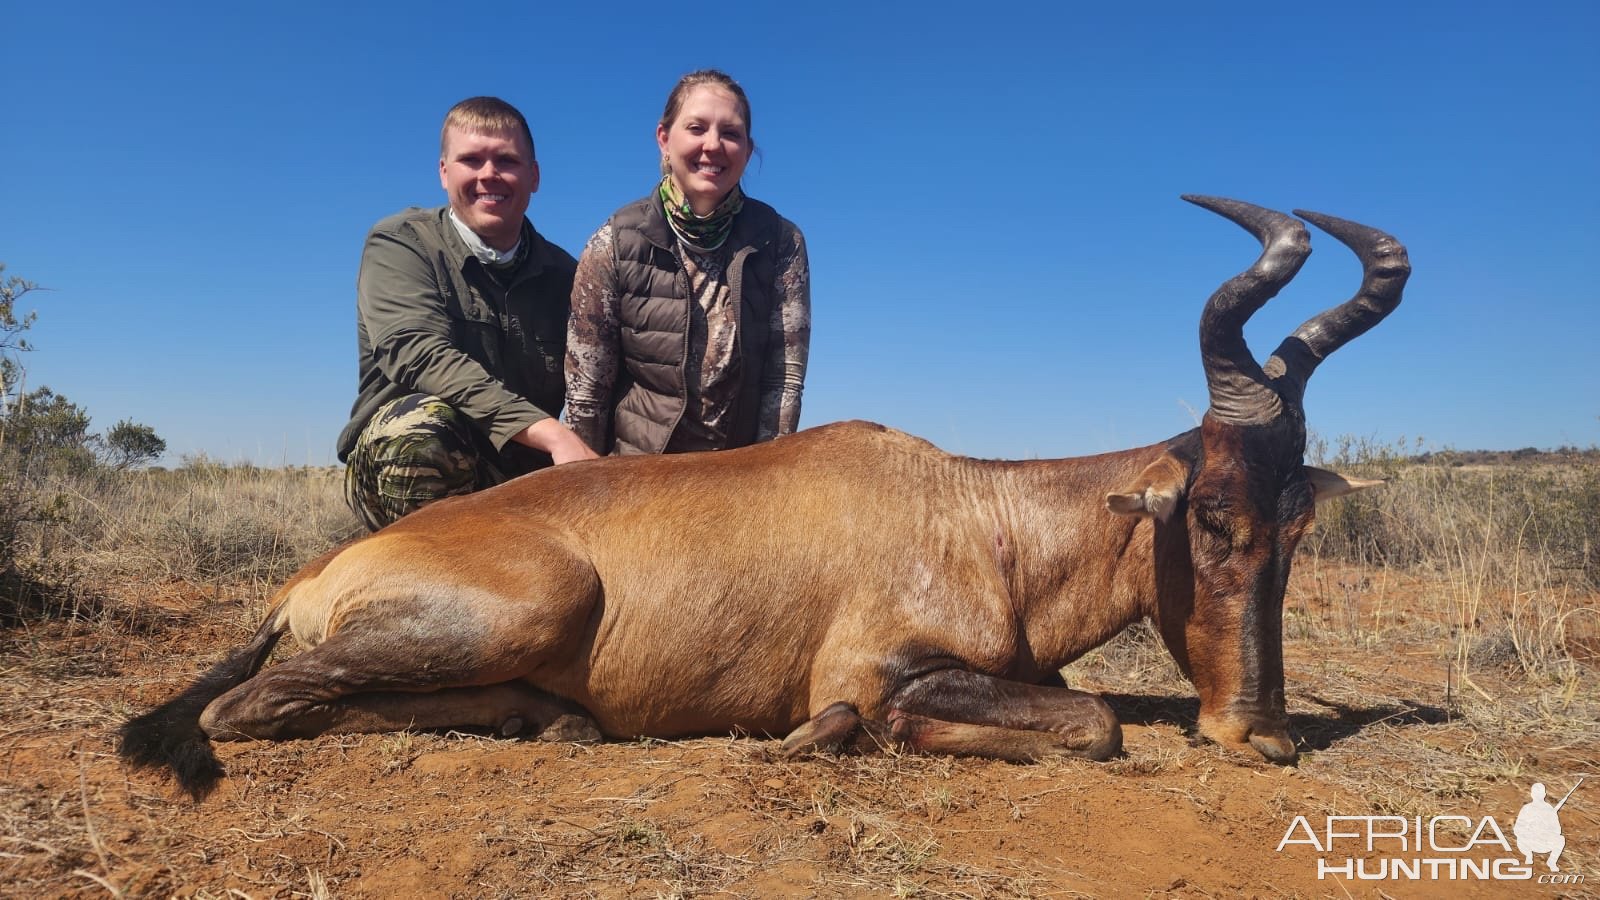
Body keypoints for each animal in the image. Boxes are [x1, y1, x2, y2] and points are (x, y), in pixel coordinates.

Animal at [118, 196, 1408, 797]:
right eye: (1210, 515)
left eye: (1299, 523)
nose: (1261, 734)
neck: (968, 508)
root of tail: (310, 576)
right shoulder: (880, 665)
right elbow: (1084, 721)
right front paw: (825, 736)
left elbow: (1085, 712)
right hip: (517, 607)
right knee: (250, 708)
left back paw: (551, 718)